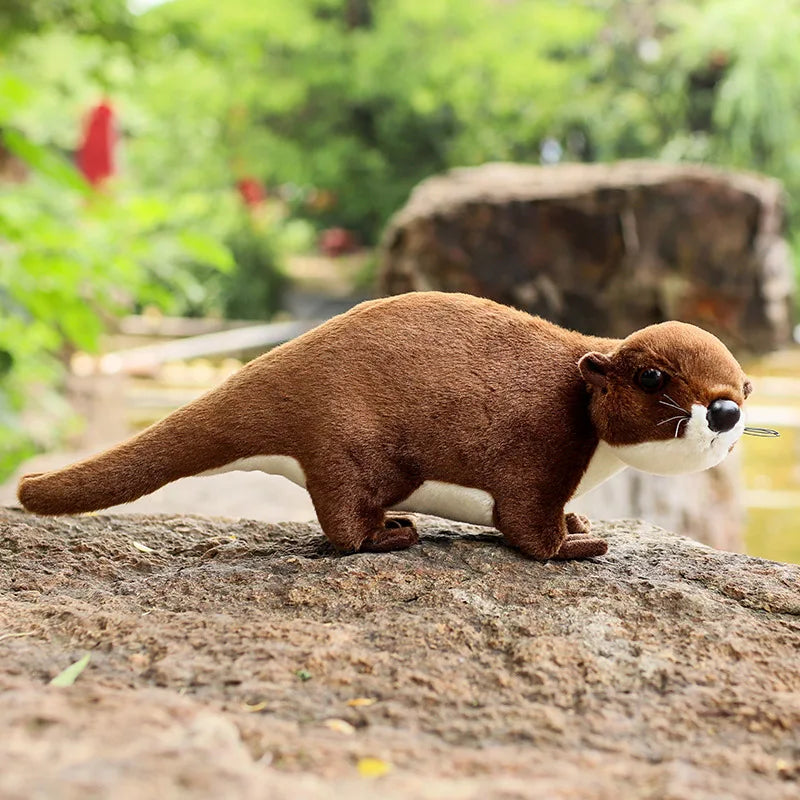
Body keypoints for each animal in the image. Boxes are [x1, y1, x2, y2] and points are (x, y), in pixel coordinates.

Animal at [17, 292, 754, 560]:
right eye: (654, 378)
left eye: (743, 384)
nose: (726, 411)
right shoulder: (540, 453)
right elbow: (526, 528)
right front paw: (576, 544)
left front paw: (580, 521)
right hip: (349, 444)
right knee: (342, 526)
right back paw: (393, 534)